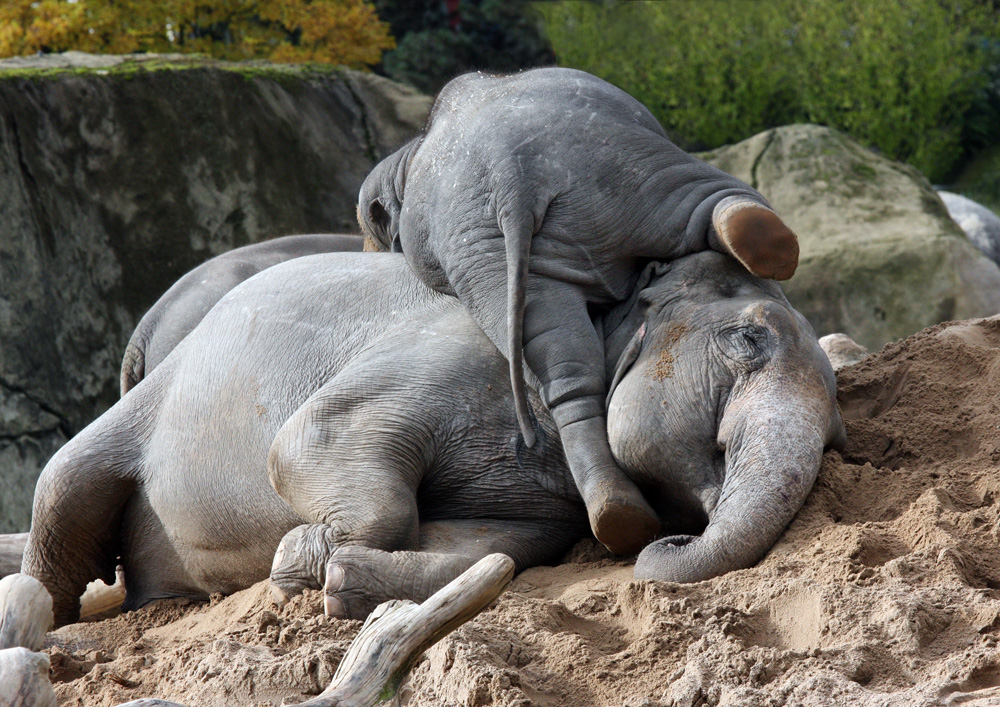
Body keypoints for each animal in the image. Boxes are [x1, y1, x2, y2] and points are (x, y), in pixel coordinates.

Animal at [21, 252, 844, 628]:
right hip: (144, 404)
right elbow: (306, 440)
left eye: (838, 432)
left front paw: (341, 578)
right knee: (62, 491)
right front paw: (296, 560)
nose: (671, 540)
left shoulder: (546, 497)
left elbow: (496, 546)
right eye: (748, 340)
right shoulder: (455, 353)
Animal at [356, 66, 800, 556]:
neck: (407, 155)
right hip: (607, 179)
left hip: (591, 177)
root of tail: (512, 178)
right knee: (567, 366)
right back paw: (618, 517)